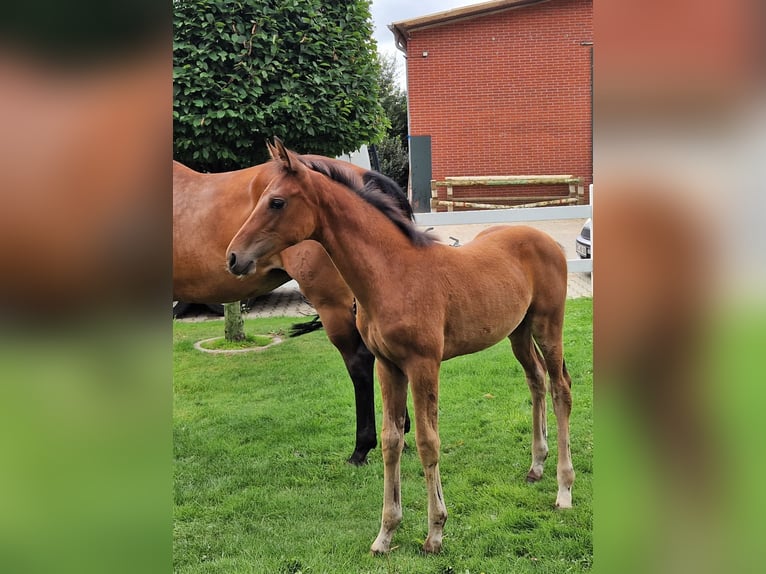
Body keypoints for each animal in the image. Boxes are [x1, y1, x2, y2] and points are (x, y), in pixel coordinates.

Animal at [228, 137, 576, 556]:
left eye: (276, 201)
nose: (233, 257)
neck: (392, 273)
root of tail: (548, 240)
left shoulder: (423, 364)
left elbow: (428, 442)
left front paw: (435, 532)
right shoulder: (387, 364)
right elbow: (392, 440)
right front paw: (386, 533)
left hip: (548, 325)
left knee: (560, 389)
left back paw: (564, 491)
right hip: (518, 333)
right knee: (536, 380)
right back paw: (536, 467)